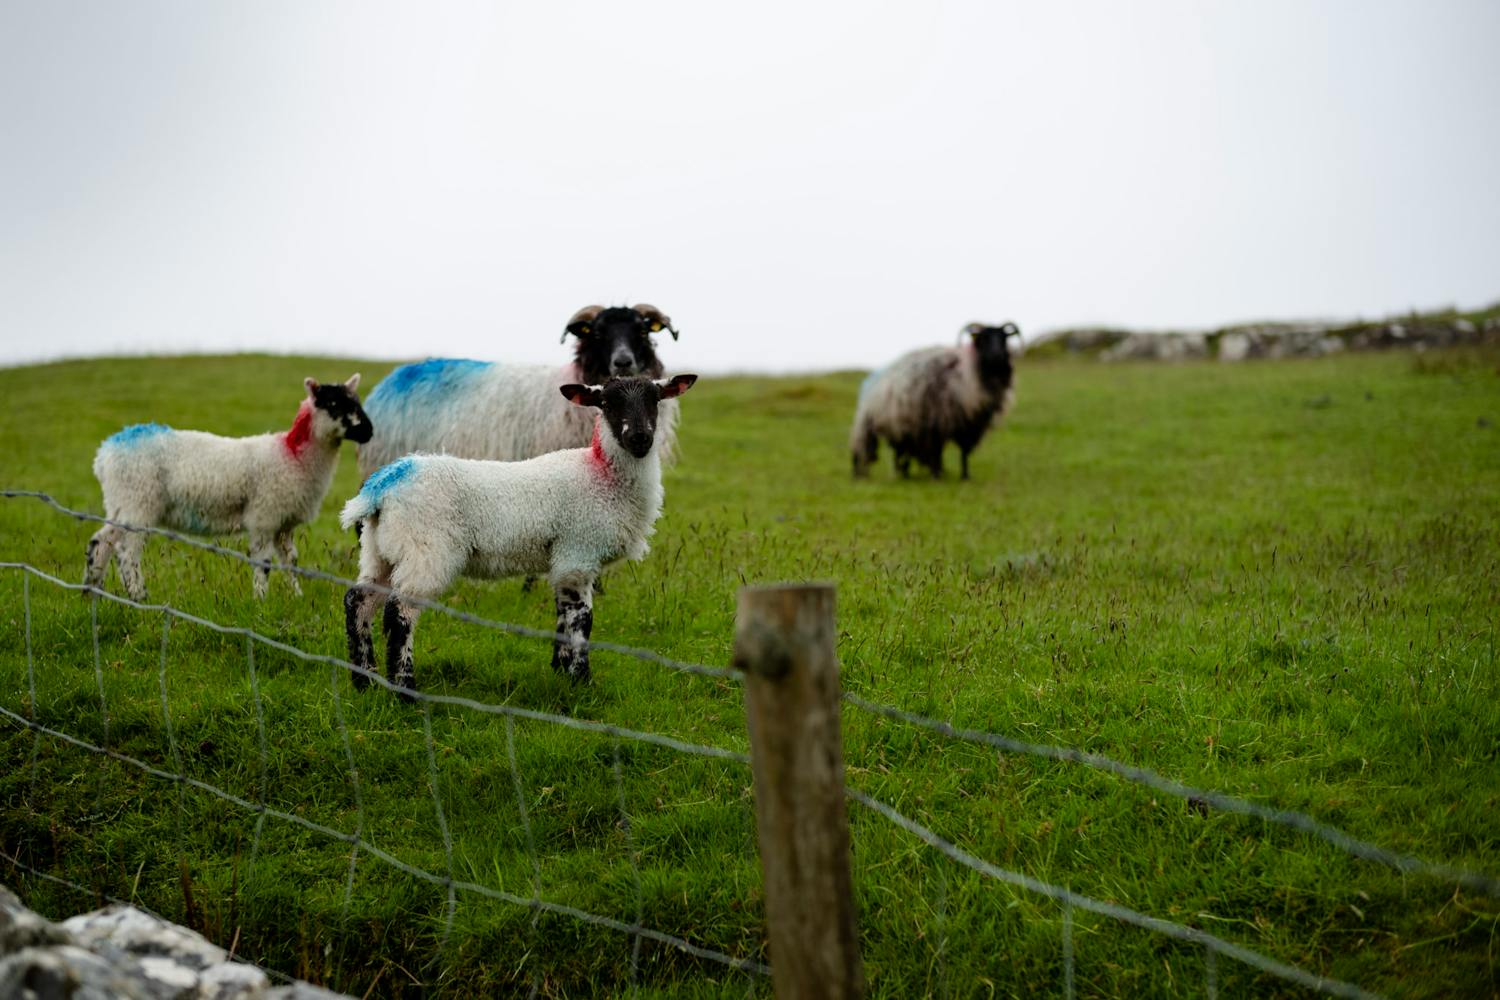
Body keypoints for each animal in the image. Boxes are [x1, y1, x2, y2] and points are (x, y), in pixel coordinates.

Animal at [85, 375, 373, 601]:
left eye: (356, 400)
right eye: (334, 404)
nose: (368, 431)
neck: (293, 456)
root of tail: (104, 454)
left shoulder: (284, 524)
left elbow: (291, 561)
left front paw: (296, 595)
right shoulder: (264, 516)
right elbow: (263, 562)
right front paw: (261, 599)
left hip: (121, 504)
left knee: (101, 542)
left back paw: (92, 592)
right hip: (139, 501)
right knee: (127, 552)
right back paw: (139, 596)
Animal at [340, 373, 698, 696]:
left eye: (654, 400)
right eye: (607, 403)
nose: (639, 438)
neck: (599, 474)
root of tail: (385, 482)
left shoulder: (564, 559)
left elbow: (562, 615)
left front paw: (561, 669)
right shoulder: (579, 551)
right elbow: (582, 620)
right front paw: (582, 681)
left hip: (380, 550)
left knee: (358, 601)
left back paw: (364, 681)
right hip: (426, 549)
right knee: (399, 612)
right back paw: (404, 690)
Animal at [850, 322, 1020, 480]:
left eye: (1004, 338)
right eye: (984, 338)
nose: (997, 356)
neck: (966, 375)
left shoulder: (969, 424)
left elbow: (963, 452)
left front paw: (965, 476)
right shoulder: (936, 421)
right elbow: (937, 450)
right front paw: (937, 476)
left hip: (902, 427)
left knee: (901, 453)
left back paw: (904, 474)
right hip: (870, 424)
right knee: (862, 450)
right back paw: (860, 475)